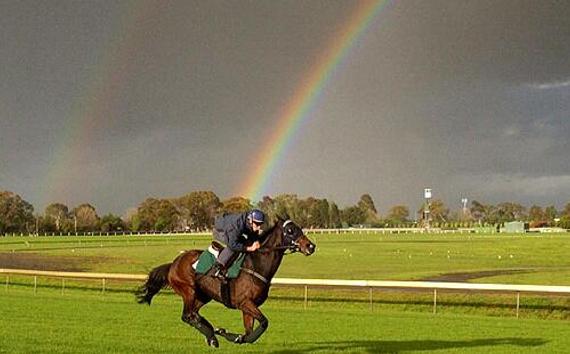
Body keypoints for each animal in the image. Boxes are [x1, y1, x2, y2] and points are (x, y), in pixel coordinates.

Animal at [136, 217, 318, 348]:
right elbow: (264, 323)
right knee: (187, 316)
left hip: (203, 295)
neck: (256, 265)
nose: (311, 246)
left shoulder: (247, 308)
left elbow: (249, 333)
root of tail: (173, 263)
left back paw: (211, 333)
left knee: (194, 314)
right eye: (290, 230)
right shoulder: (245, 302)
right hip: (188, 290)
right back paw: (211, 336)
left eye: (300, 228)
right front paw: (228, 335)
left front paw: (230, 335)